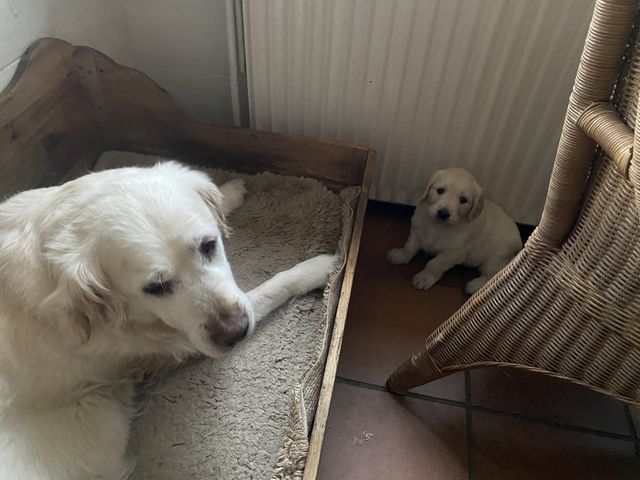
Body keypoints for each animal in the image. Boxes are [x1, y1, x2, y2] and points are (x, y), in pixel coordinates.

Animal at [0, 161, 336, 480]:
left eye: (209, 245)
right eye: (154, 288)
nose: (235, 332)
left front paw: (228, 192)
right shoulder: (182, 340)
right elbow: (272, 287)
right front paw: (317, 268)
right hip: (96, 409)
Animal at [387, 167, 522, 294]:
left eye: (463, 200)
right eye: (440, 190)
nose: (443, 213)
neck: (437, 226)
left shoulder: (453, 253)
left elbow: (434, 264)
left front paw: (424, 278)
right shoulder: (417, 230)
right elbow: (409, 246)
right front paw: (400, 255)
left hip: (495, 260)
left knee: (491, 276)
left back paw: (473, 287)